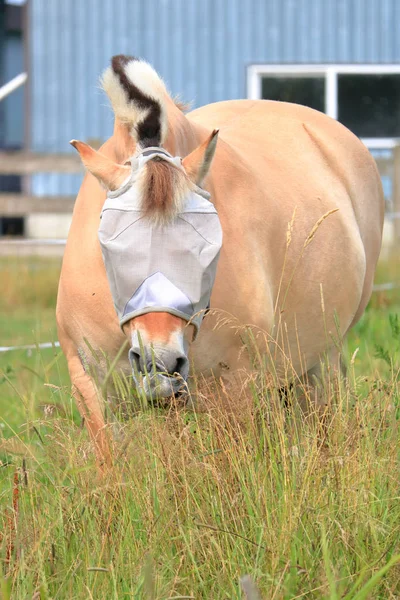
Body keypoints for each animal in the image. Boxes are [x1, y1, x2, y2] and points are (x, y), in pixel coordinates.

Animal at [56, 55, 384, 464]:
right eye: (112, 243)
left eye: (206, 245)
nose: (161, 362)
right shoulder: (90, 385)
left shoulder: (236, 389)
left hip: (323, 357)